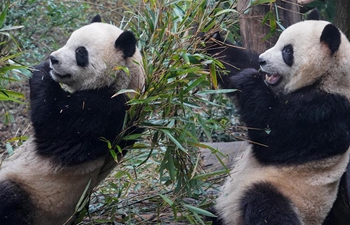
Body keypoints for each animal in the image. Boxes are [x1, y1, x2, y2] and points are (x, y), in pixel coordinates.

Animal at [0, 14, 145, 224]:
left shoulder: (105, 111)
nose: (53, 59)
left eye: (80, 52)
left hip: (35, 196)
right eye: (68, 41)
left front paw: (41, 69)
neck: (125, 81)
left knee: (9, 201)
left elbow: (52, 122)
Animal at [206, 18, 350, 225]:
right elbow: (235, 62)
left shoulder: (329, 110)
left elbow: (276, 137)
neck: (328, 76)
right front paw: (209, 36)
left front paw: (247, 78)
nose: (262, 60)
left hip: (292, 196)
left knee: (265, 205)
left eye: (287, 51)